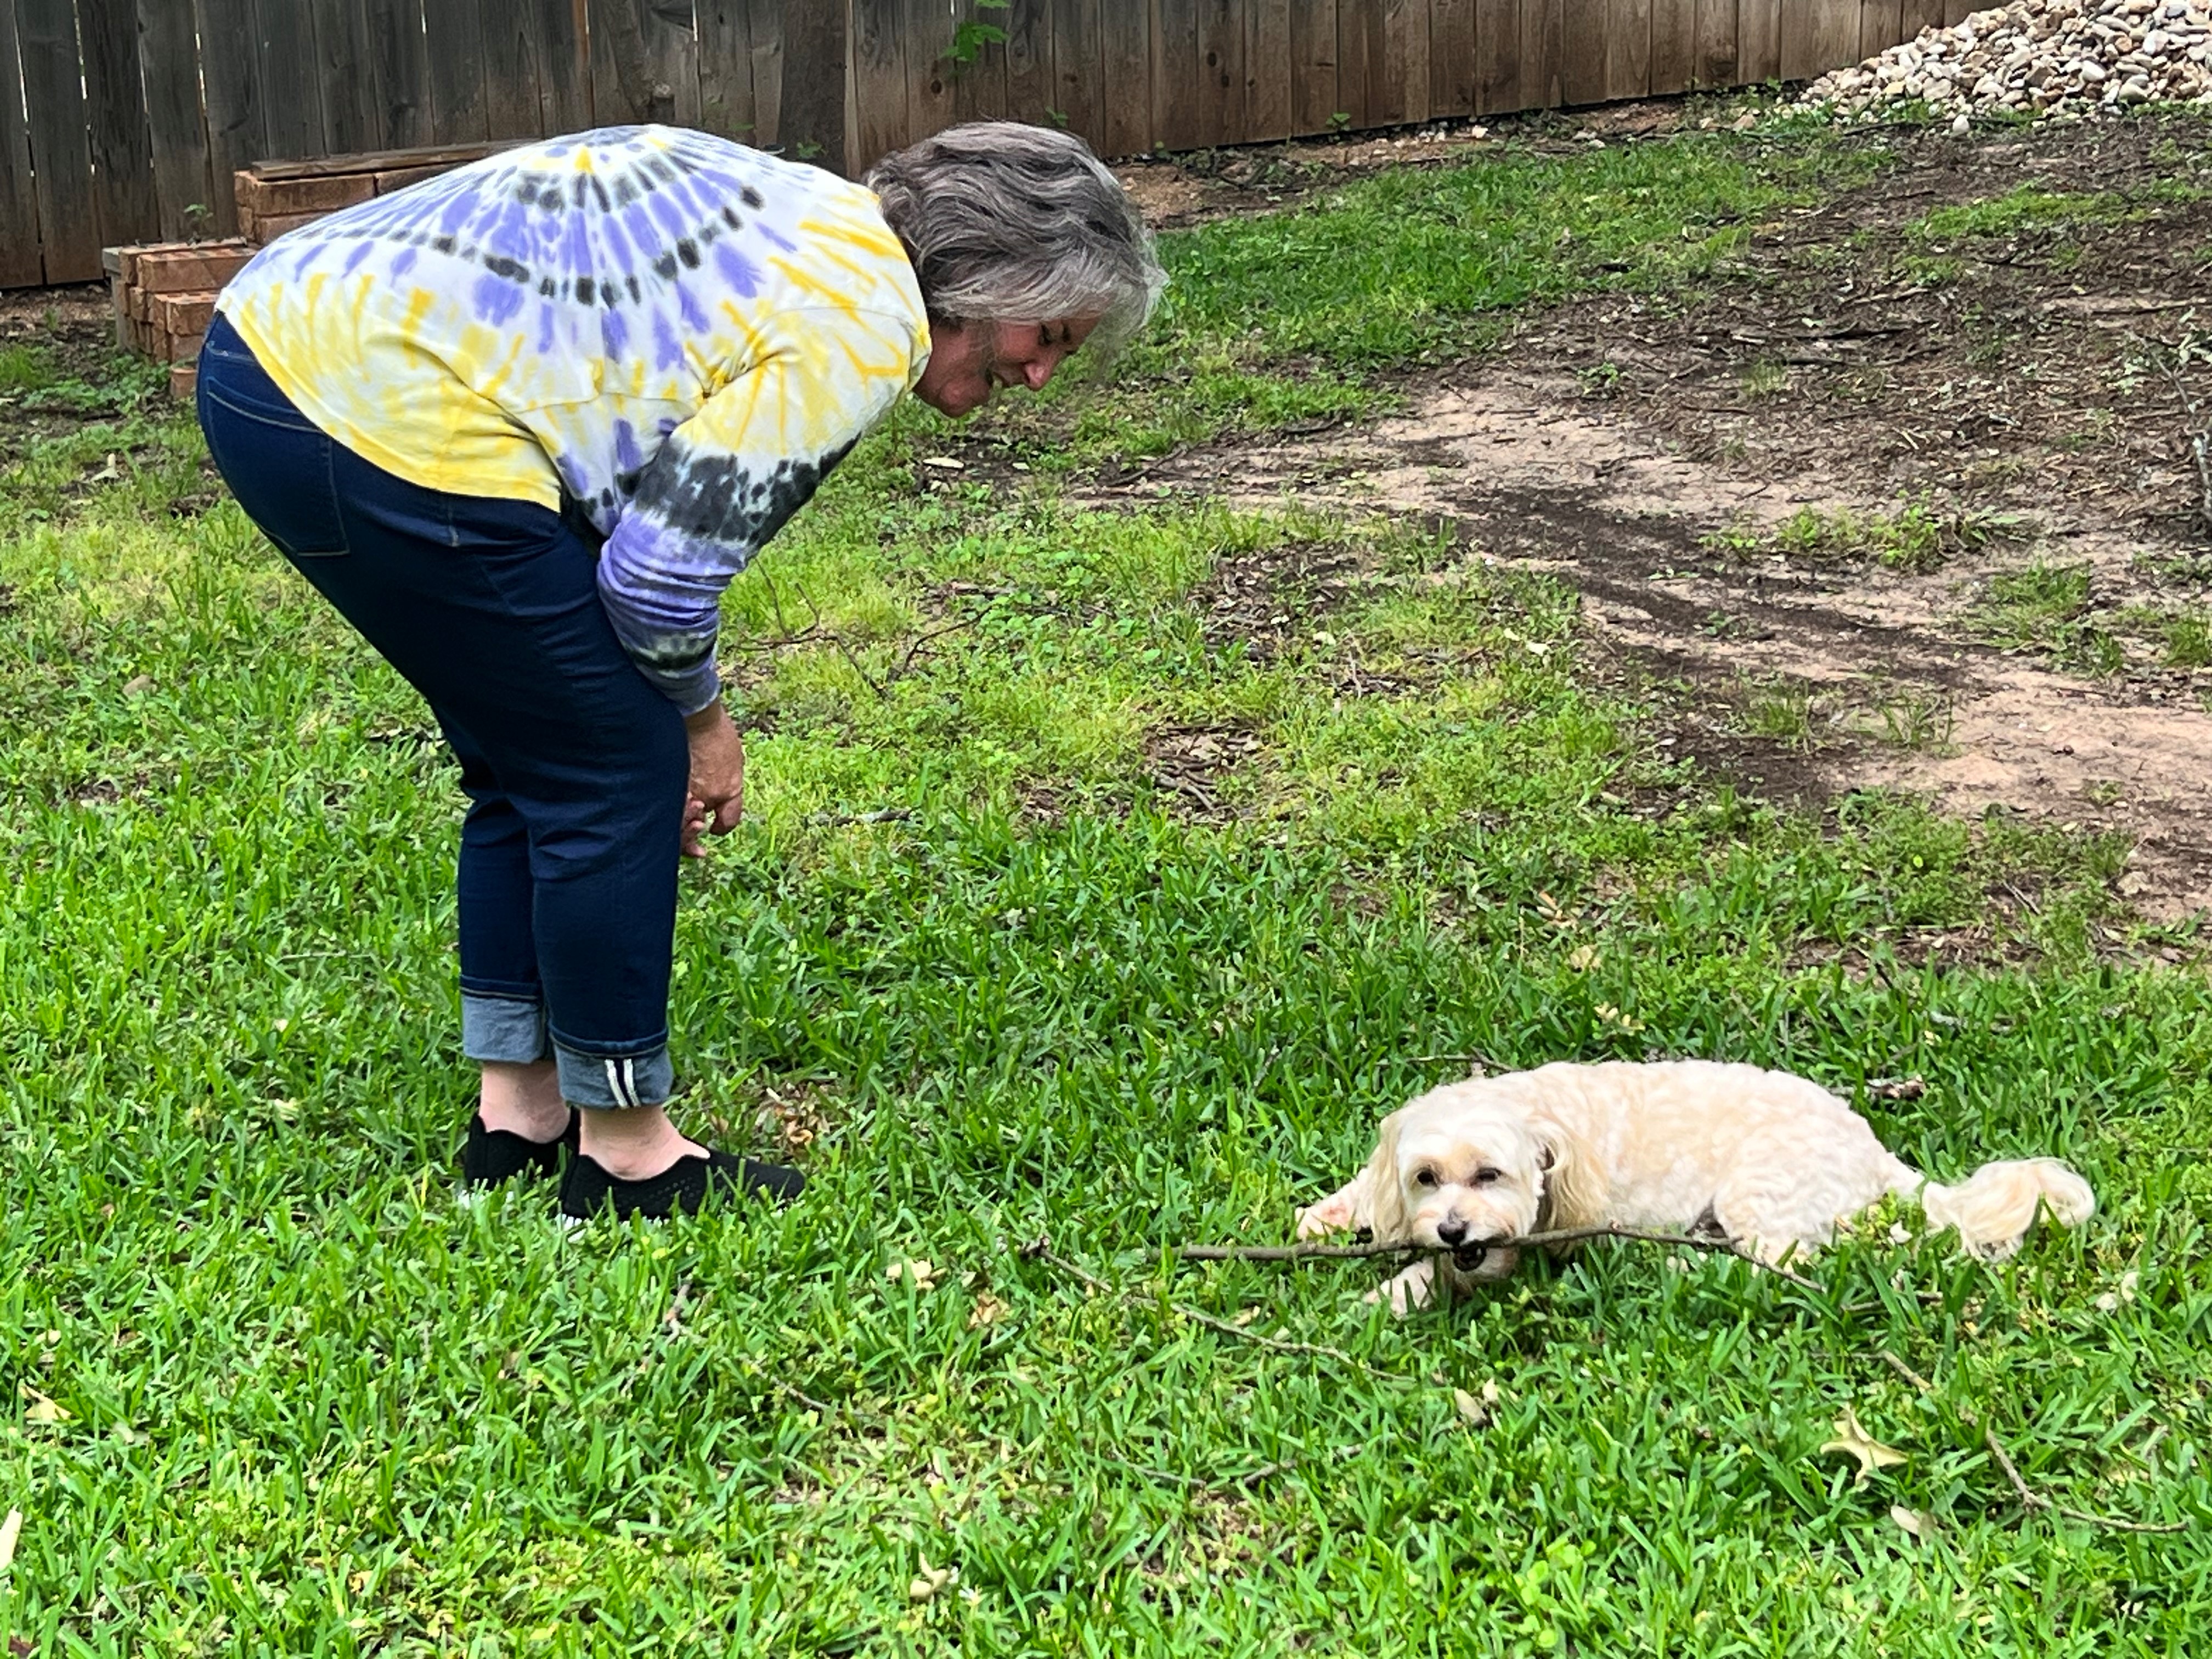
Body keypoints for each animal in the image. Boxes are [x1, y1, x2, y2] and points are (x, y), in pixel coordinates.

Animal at [1291, 1057, 2088, 1318]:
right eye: (1425, 1179)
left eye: (1491, 1174)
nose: (1454, 1230)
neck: (1546, 1122)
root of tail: (1871, 1146)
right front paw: (1329, 1214)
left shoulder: (1530, 1240)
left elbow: (1448, 1274)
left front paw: (1386, 1296)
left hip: (1758, 1190)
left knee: (1786, 1265)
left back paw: (1682, 1262)